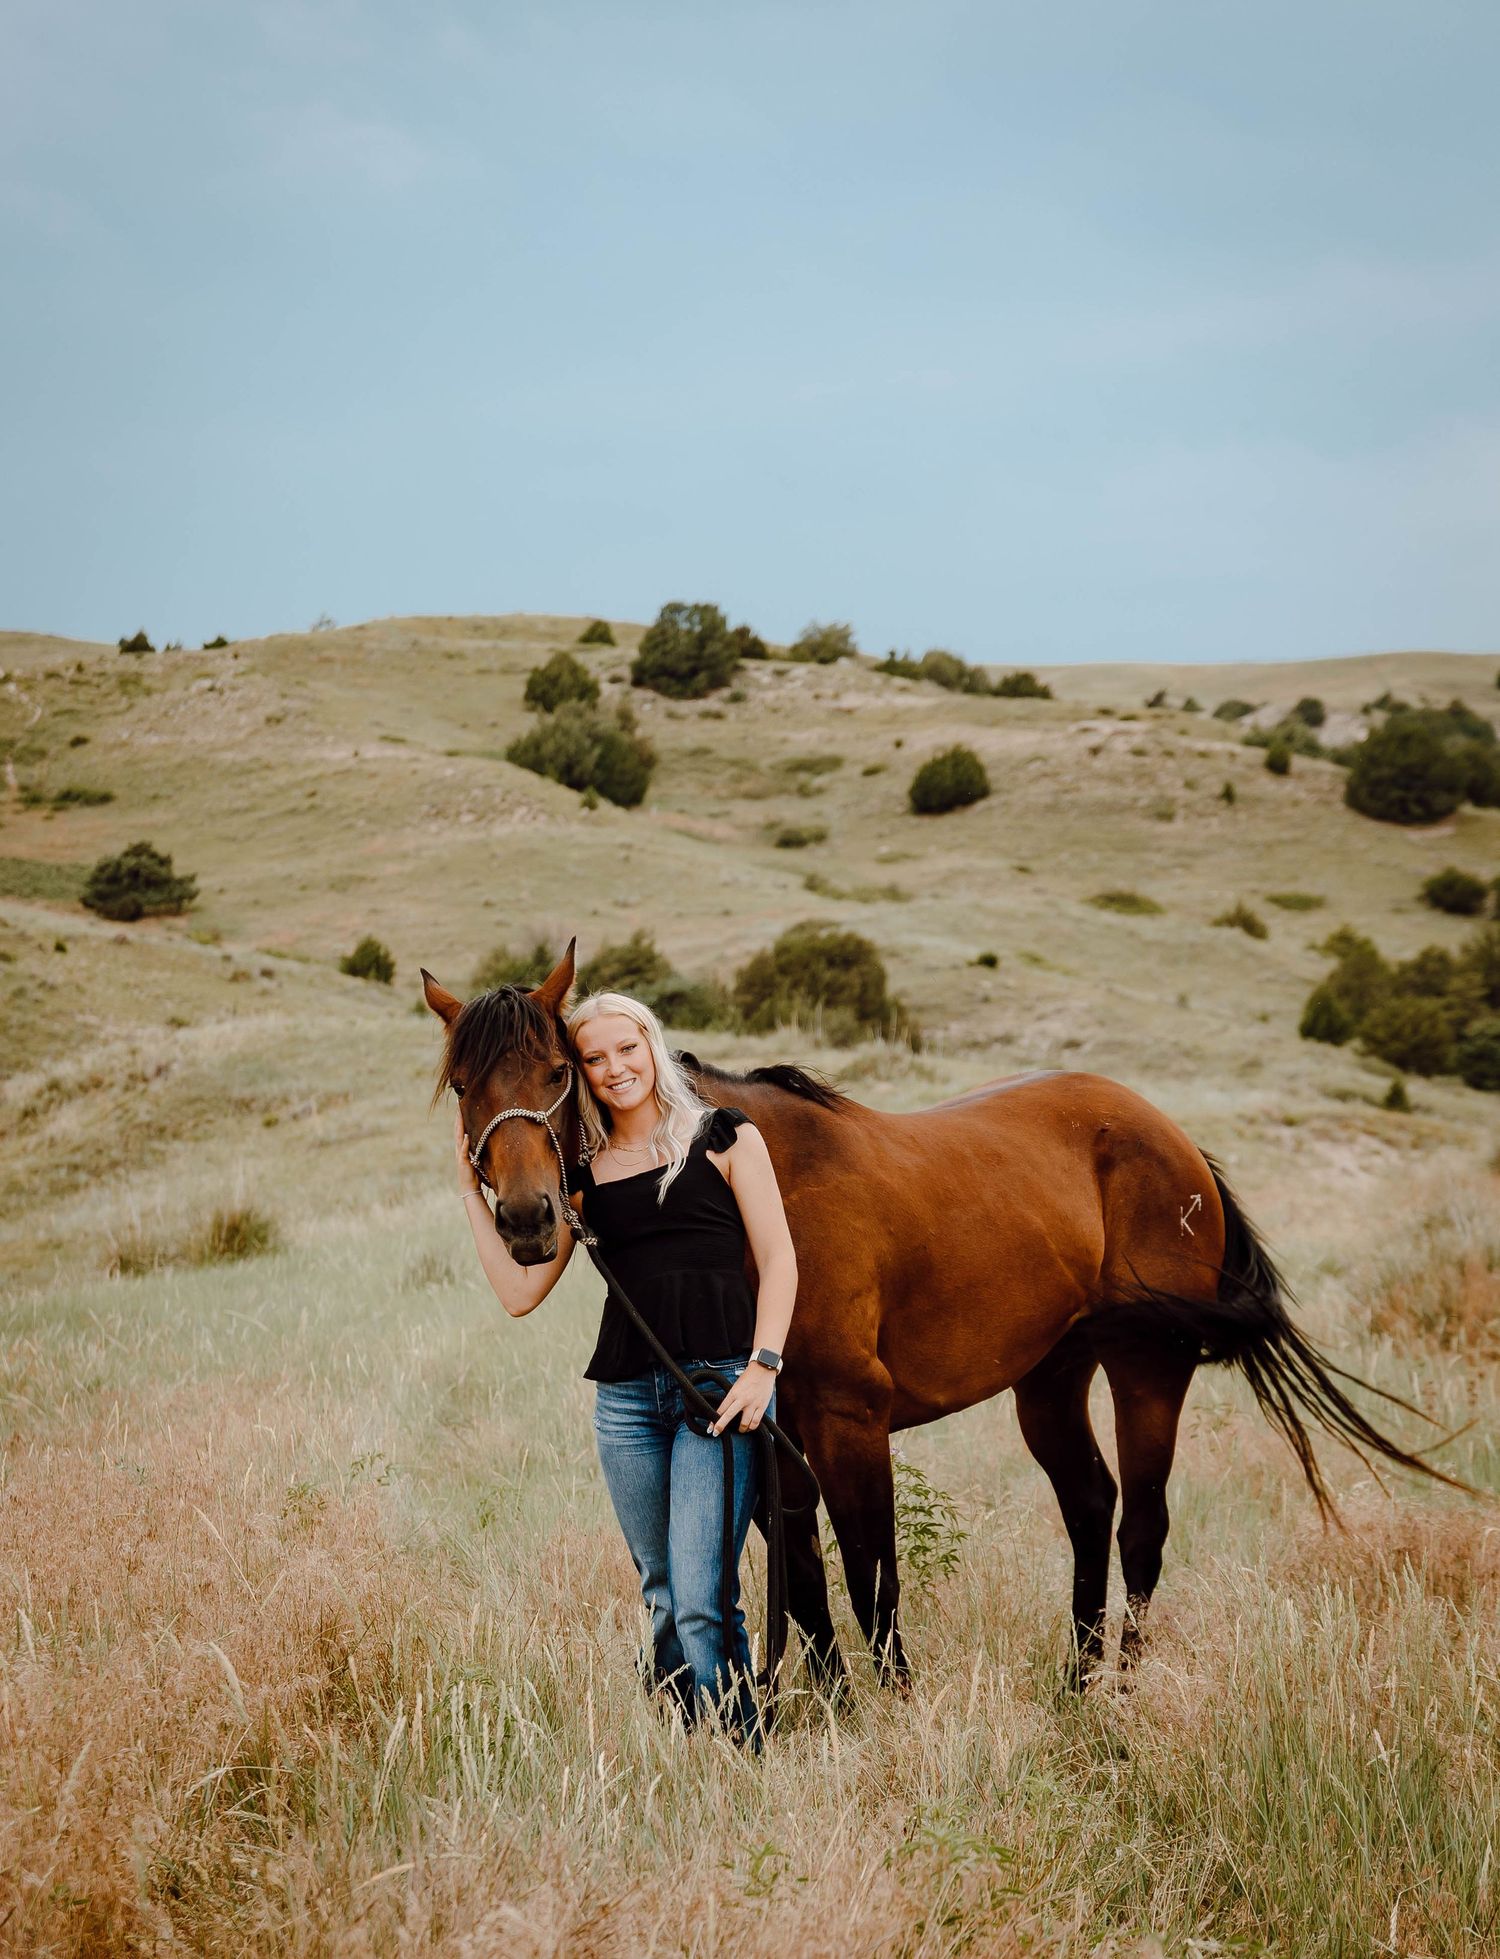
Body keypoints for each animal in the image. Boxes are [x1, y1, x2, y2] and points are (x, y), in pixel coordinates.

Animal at [423, 941, 1462, 1693]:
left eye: (559, 1069)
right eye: (464, 1083)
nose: (527, 1219)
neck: (765, 1193)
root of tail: (1169, 1137)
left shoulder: (850, 1421)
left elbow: (870, 1572)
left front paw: (892, 1700)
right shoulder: (764, 1429)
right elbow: (804, 1577)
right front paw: (836, 1705)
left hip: (1146, 1368)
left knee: (1142, 1523)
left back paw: (1121, 1691)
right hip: (1050, 1376)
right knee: (1091, 1506)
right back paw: (1074, 1682)